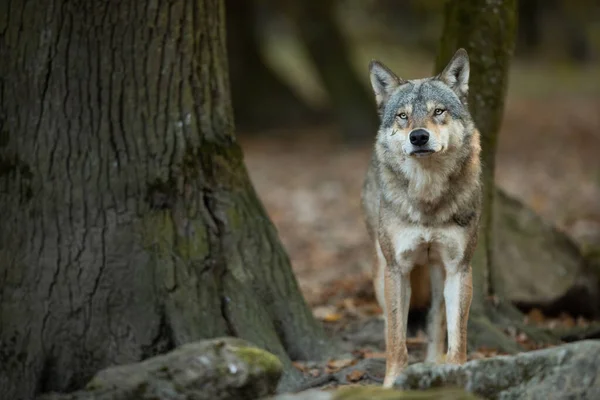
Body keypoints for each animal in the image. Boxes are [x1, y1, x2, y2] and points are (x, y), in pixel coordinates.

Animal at [360, 49, 482, 388]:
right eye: (403, 116)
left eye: (438, 111)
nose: (418, 137)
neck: (427, 198)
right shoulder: (397, 269)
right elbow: (396, 338)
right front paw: (392, 383)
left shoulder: (459, 268)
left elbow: (457, 337)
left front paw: (455, 375)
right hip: (381, 272)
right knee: (391, 323)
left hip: (439, 274)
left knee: (436, 324)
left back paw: (433, 366)